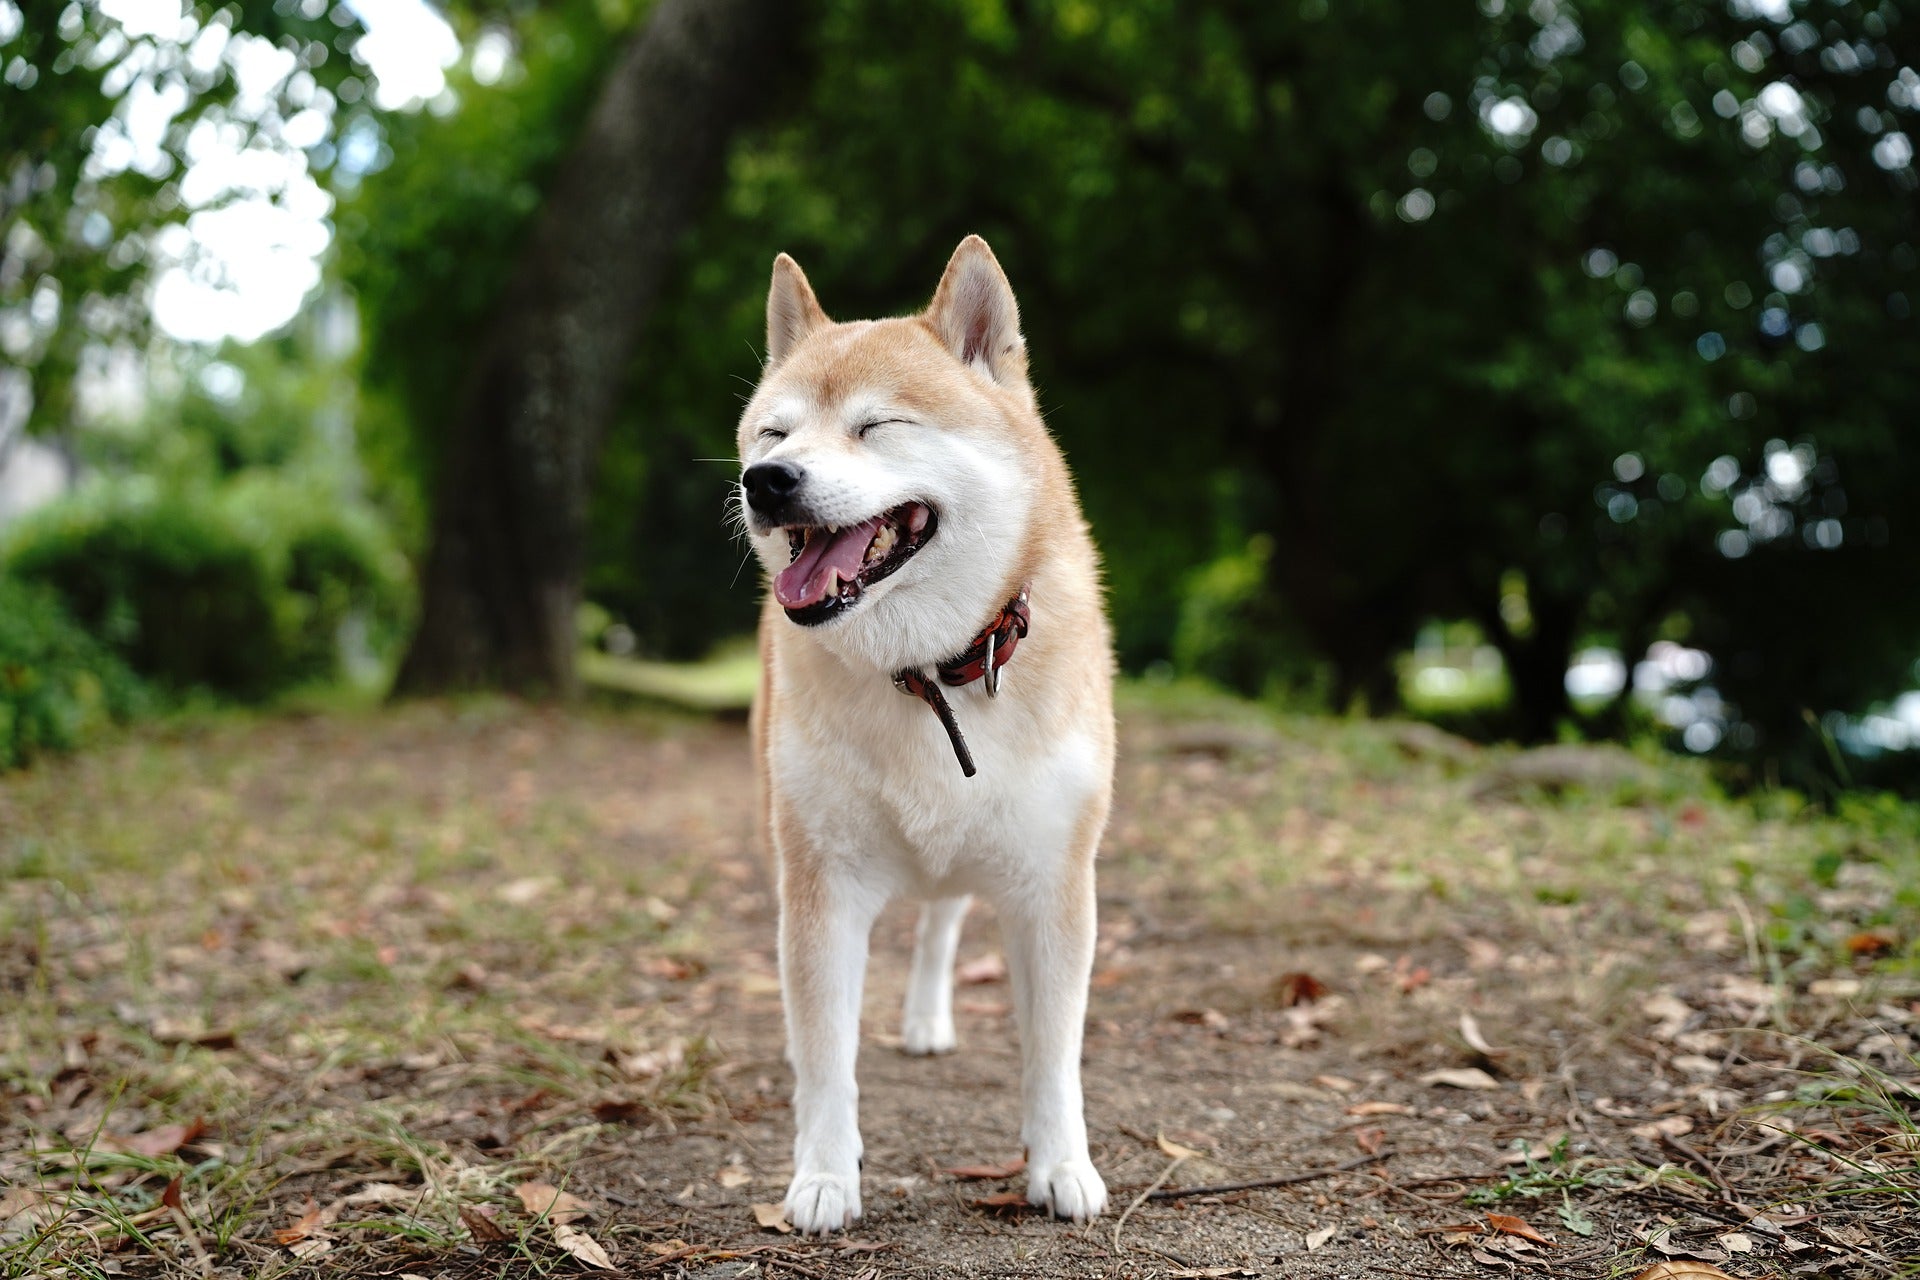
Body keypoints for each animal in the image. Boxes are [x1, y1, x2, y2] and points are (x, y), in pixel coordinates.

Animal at [741, 237, 1121, 1228]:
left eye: (877, 426)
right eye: (773, 435)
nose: (766, 482)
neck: (927, 673)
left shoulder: (1055, 884)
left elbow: (1053, 1057)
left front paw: (1060, 1166)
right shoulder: (821, 884)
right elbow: (825, 1057)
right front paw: (824, 1175)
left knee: (943, 917)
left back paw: (924, 1019)